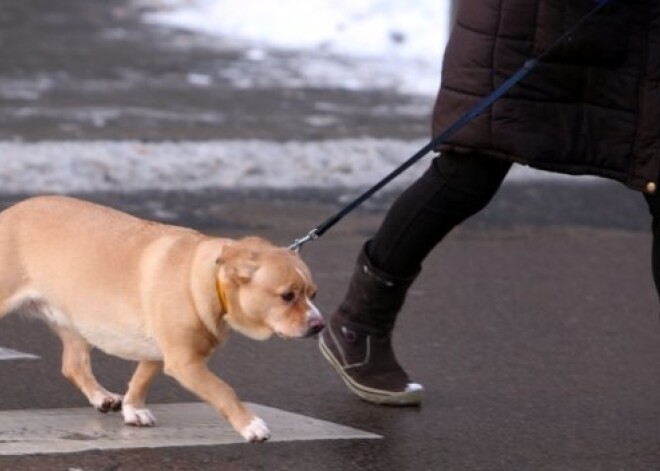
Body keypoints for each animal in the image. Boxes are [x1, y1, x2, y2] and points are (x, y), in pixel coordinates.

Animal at [0, 195, 322, 442]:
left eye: (313, 294)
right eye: (287, 296)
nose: (319, 325)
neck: (208, 280)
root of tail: (8, 213)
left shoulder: (158, 352)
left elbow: (141, 378)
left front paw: (134, 409)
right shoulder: (186, 362)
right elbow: (223, 390)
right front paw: (250, 425)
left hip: (75, 320)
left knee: (73, 365)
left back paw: (101, 396)